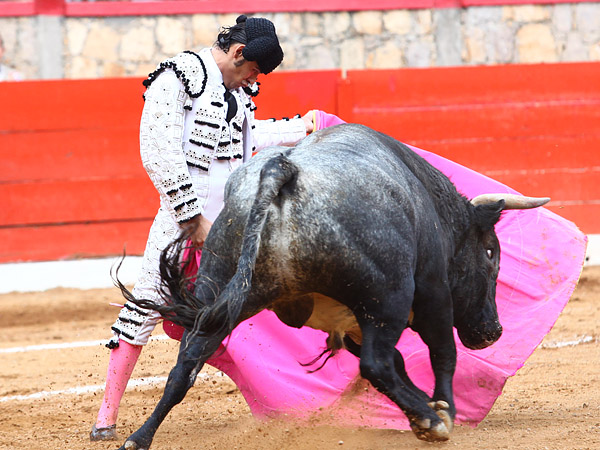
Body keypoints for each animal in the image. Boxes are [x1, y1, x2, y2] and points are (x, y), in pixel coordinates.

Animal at [116, 123, 549, 449]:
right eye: (491, 252)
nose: (493, 332)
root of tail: (283, 170)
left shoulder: (358, 318)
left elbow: (401, 362)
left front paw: (422, 408)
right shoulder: (430, 293)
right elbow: (439, 353)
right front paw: (439, 410)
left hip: (220, 284)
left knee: (186, 364)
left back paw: (138, 438)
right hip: (389, 297)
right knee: (377, 363)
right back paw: (432, 421)